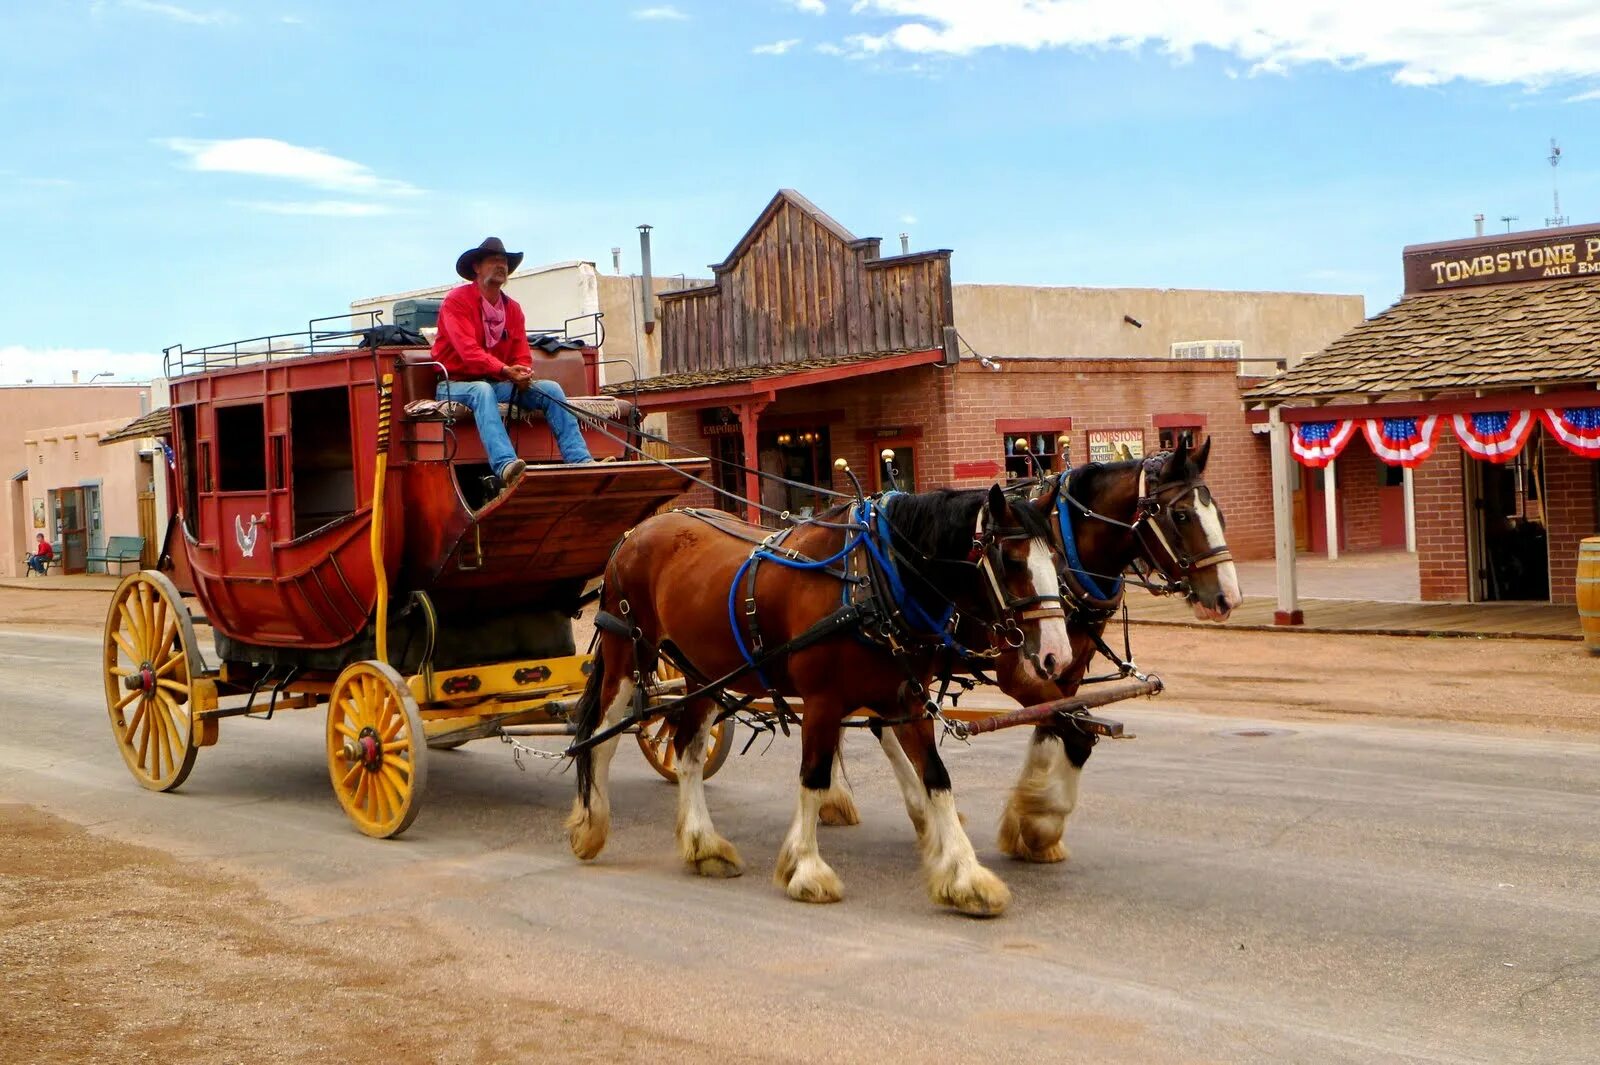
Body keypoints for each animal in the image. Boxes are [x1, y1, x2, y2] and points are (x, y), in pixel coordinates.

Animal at [566, 486, 1075, 908]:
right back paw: (591, 824)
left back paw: (703, 845)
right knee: (601, 738)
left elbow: (936, 778)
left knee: (687, 750)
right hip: (626, 653)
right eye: (1011, 560)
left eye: (1056, 560)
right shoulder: (823, 702)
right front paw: (808, 870)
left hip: (702, 674)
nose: (1058, 654)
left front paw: (966, 876)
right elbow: (813, 777)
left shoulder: (907, 701)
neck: (873, 580)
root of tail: (636, 533)